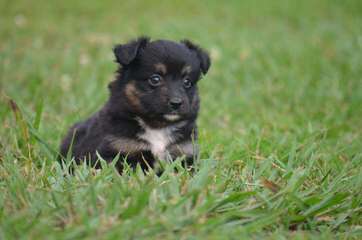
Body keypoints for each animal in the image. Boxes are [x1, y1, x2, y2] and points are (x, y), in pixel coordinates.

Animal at [59, 36, 211, 171]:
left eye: (187, 82)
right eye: (155, 79)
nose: (176, 103)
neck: (157, 126)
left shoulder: (184, 152)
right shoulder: (119, 151)